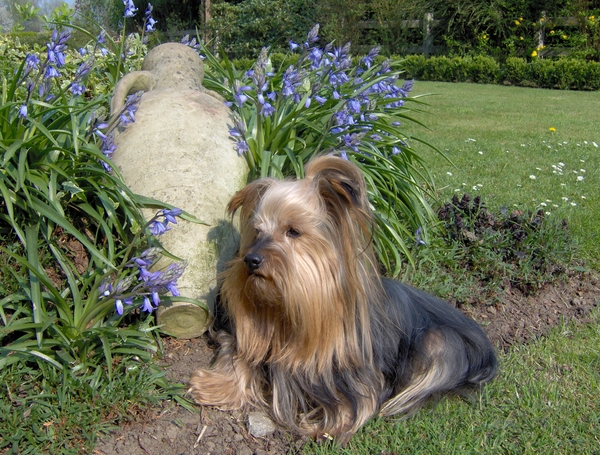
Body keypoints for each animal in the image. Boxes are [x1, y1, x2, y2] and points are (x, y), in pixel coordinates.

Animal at [190, 155, 500, 444]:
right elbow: (242, 355)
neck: (286, 314)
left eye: (293, 231)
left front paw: (327, 426)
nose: (251, 260)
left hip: (442, 343)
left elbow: (355, 403)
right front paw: (214, 386)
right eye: (257, 231)